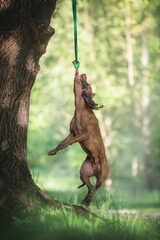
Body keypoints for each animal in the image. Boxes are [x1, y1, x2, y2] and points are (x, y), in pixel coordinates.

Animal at [48, 72, 109, 205]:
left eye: (88, 84)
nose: (83, 74)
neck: (80, 110)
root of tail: (95, 164)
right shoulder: (71, 133)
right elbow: (61, 142)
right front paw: (54, 150)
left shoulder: (84, 134)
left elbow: (69, 142)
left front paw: (65, 146)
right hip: (84, 174)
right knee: (90, 188)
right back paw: (85, 200)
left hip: (101, 177)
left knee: (95, 189)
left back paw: (88, 201)